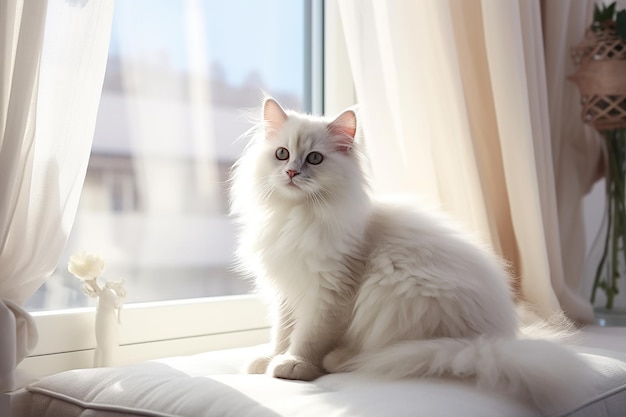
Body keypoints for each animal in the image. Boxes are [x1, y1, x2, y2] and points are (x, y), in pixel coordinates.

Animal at [229, 97, 596, 412]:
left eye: (314, 159)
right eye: (282, 154)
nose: (291, 172)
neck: (297, 217)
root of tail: (493, 342)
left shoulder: (328, 292)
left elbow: (307, 336)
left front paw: (294, 365)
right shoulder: (287, 290)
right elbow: (282, 332)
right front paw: (270, 358)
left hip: (396, 290)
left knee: (379, 353)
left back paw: (338, 359)